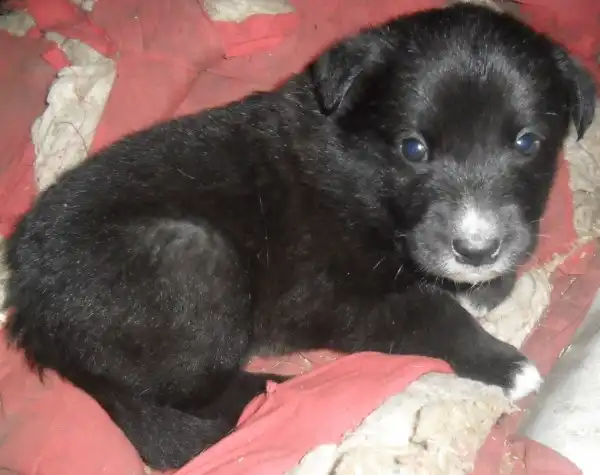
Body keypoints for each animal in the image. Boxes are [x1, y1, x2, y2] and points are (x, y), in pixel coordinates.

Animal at [3, 3, 596, 469]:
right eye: (413, 149)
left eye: (527, 143)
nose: (476, 249)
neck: (365, 168)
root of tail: (32, 312)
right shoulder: (327, 298)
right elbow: (428, 311)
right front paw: (504, 363)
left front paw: (482, 286)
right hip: (192, 255)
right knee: (186, 395)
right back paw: (275, 393)